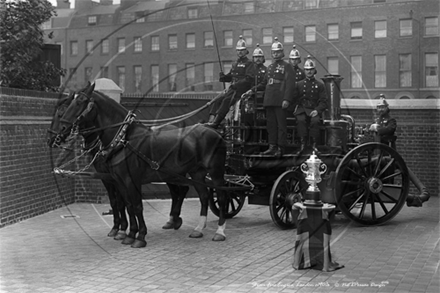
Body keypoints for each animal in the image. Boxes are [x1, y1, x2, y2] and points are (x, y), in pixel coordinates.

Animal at [53, 82, 229, 246]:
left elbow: (136, 206)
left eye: (80, 102)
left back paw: (220, 231)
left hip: (215, 172)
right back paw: (198, 229)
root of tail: (214, 130)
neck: (123, 140)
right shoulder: (119, 180)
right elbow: (128, 205)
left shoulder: (131, 180)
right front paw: (129, 234)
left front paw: (140, 236)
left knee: (221, 196)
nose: (62, 129)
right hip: (196, 172)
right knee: (204, 196)